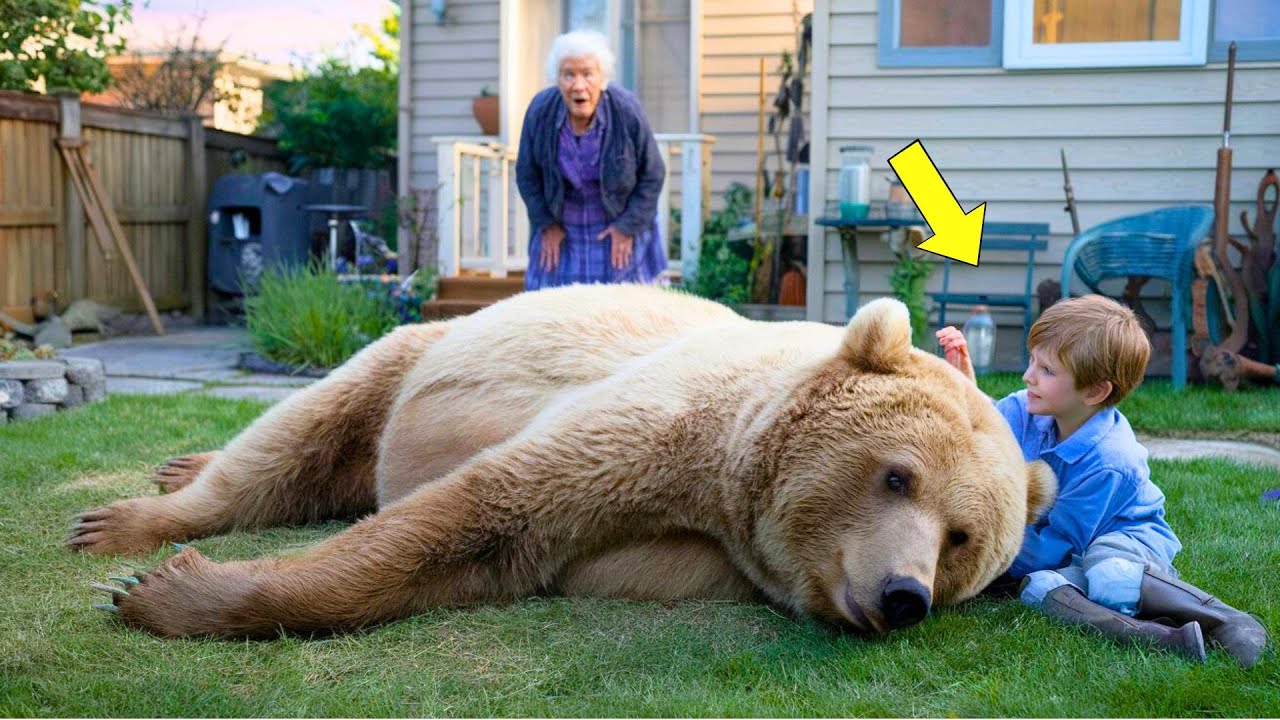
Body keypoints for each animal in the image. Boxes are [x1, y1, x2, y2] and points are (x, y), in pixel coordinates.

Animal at [71, 284, 1056, 639]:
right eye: (897, 474)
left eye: (962, 539)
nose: (903, 594)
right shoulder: (669, 422)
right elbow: (488, 511)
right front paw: (160, 590)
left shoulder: (708, 556)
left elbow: (502, 555)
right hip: (413, 352)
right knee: (300, 429)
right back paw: (135, 513)